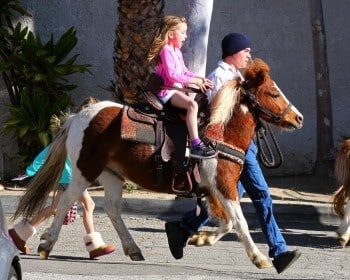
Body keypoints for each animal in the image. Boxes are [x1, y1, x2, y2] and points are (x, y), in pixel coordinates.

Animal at [13, 58, 304, 268]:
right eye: (273, 93)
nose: (298, 118)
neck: (219, 134)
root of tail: (79, 116)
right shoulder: (223, 186)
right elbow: (240, 222)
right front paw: (260, 258)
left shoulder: (214, 191)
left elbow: (226, 222)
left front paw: (199, 238)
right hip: (86, 171)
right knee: (65, 201)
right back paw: (46, 244)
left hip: (111, 175)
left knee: (112, 209)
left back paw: (132, 248)